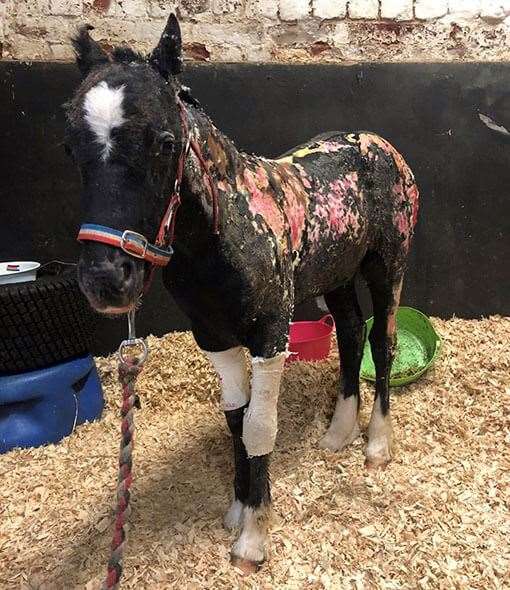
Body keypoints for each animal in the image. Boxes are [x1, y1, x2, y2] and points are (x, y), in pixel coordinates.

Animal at [66, 13, 418, 576]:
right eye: (70, 146)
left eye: (165, 142)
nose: (106, 279)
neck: (230, 226)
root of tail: (381, 145)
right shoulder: (214, 337)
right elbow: (234, 419)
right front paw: (237, 508)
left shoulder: (270, 335)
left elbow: (258, 427)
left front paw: (253, 538)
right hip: (336, 277)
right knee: (348, 334)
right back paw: (337, 434)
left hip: (389, 266)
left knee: (381, 343)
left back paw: (377, 444)